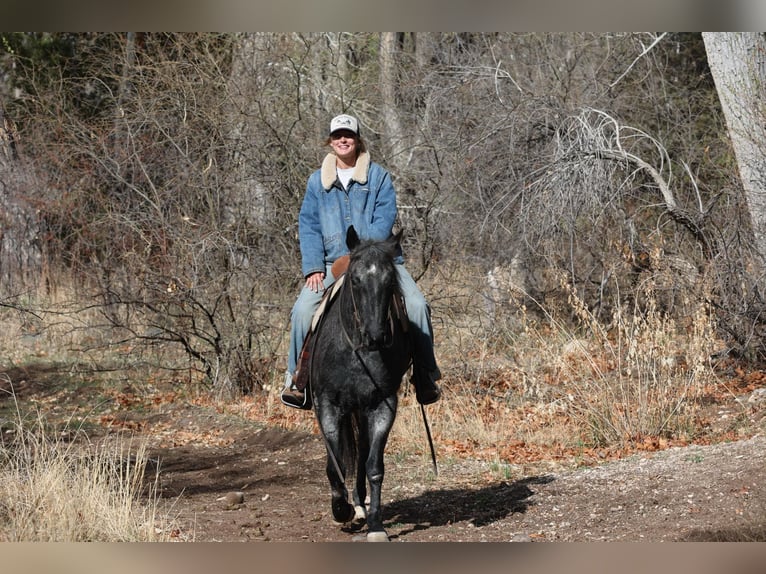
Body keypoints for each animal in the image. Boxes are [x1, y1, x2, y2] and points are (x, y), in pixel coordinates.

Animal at [308, 226, 412, 542]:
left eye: (390, 280)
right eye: (355, 279)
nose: (376, 336)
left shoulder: (382, 406)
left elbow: (374, 466)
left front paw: (376, 524)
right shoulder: (327, 406)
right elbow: (335, 465)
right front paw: (340, 511)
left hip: (362, 411)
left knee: (363, 453)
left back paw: (360, 506)